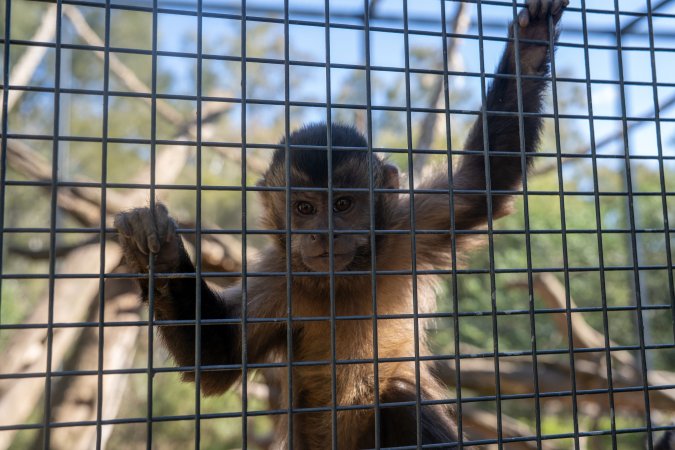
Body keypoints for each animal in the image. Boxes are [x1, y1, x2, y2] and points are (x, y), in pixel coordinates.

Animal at [113, 0, 567, 447]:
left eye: (343, 204)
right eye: (304, 209)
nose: (325, 232)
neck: (343, 279)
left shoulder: (406, 229)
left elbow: (482, 181)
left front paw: (529, 46)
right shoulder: (279, 277)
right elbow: (217, 362)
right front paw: (159, 255)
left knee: (400, 396)